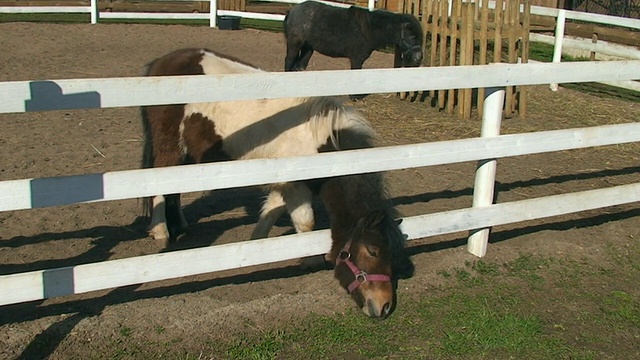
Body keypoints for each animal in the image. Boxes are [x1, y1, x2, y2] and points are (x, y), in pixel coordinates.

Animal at [140, 47, 416, 318]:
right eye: (373, 251)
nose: (384, 306)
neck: (323, 143)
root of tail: (161, 62)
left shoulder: (286, 185)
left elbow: (270, 214)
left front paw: (257, 247)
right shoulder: (296, 187)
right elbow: (305, 223)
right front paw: (309, 259)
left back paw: (180, 227)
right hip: (169, 146)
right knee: (159, 185)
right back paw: (161, 232)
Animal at [282, 0, 422, 71]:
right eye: (412, 37)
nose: (419, 58)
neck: (370, 30)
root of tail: (293, 10)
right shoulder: (357, 59)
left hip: (308, 47)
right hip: (294, 44)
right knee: (289, 60)